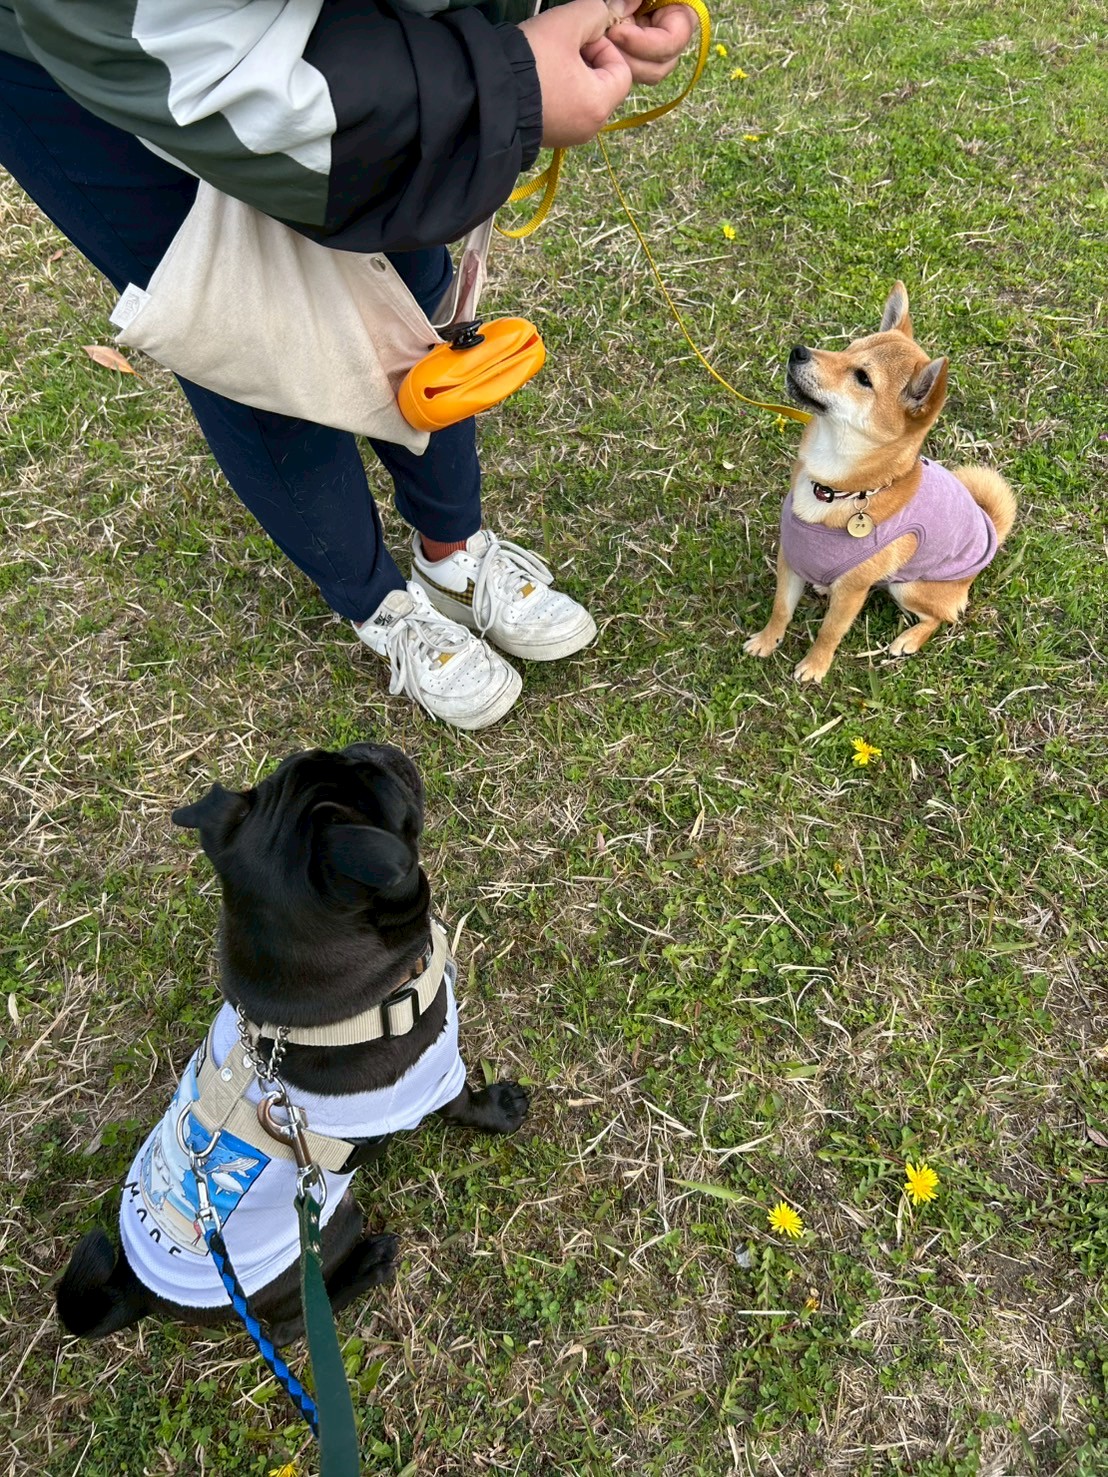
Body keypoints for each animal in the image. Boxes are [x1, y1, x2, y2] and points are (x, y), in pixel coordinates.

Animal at [56, 743, 529, 1347]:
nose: (374, 747)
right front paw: (501, 1108)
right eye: (372, 780)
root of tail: (138, 1291)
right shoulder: (435, 1076)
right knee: (289, 1327)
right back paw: (367, 1267)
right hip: (334, 1220)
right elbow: (465, 1103)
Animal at [744, 281, 1016, 683]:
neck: (834, 488)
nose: (798, 351)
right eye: (846, 348)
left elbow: (830, 631)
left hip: (910, 587)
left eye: (862, 378)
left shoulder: (853, 591)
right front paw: (768, 640)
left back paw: (909, 639)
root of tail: (990, 533)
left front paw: (815, 665)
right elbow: (781, 609)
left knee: (941, 618)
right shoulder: (789, 559)